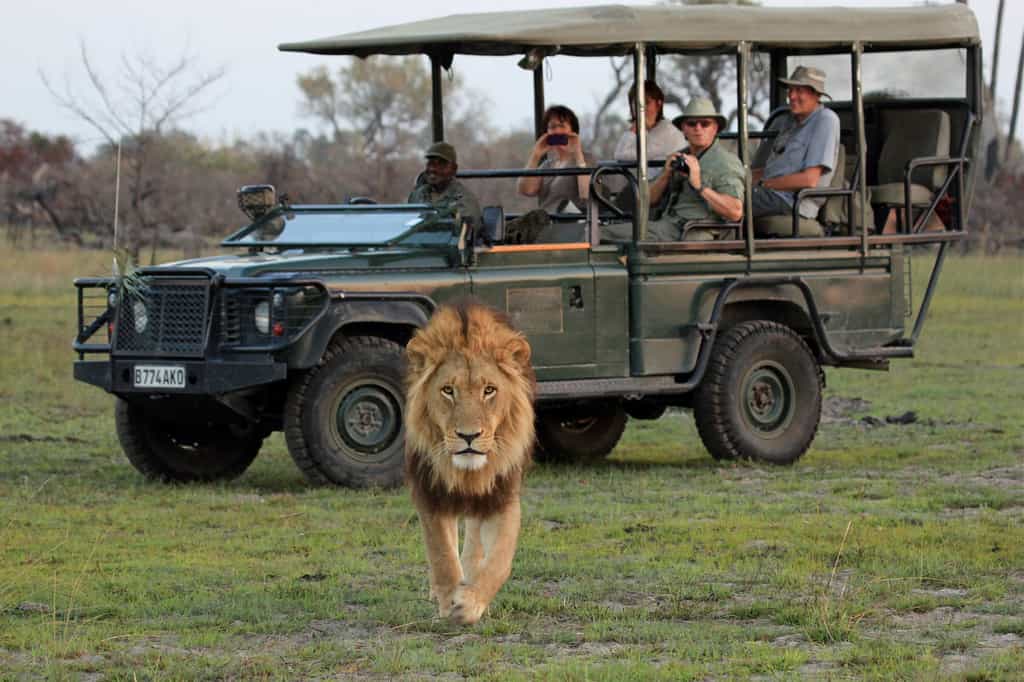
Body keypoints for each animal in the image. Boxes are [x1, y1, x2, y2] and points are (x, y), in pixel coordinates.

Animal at [404, 300, 535, 625]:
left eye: (489, 390)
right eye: (448, 390)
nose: (468, 436)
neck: (467, 474)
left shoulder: (502, 496)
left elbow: (500, 561)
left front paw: (470, 603)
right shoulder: (430, 492)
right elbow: (441, 551)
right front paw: (448, 597)